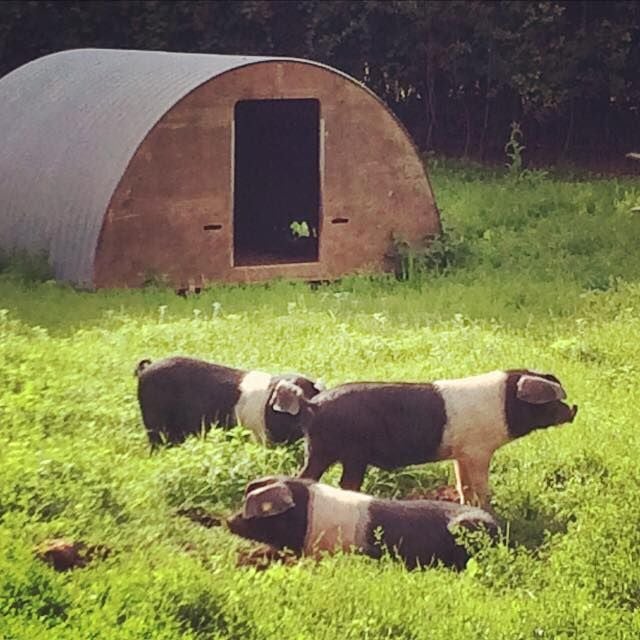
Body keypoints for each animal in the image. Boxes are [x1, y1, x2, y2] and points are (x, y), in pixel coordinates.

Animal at [272, 368, 576, 508]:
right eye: (551, 400)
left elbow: (463, 484)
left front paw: (466, 506)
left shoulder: (461, 454)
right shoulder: (479, 451)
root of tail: (312, 406)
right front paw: (489, 507)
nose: (574, 409)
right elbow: (481, 486)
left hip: (328, 452)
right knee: (332, 481)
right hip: (341, 453)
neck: (505, 405)